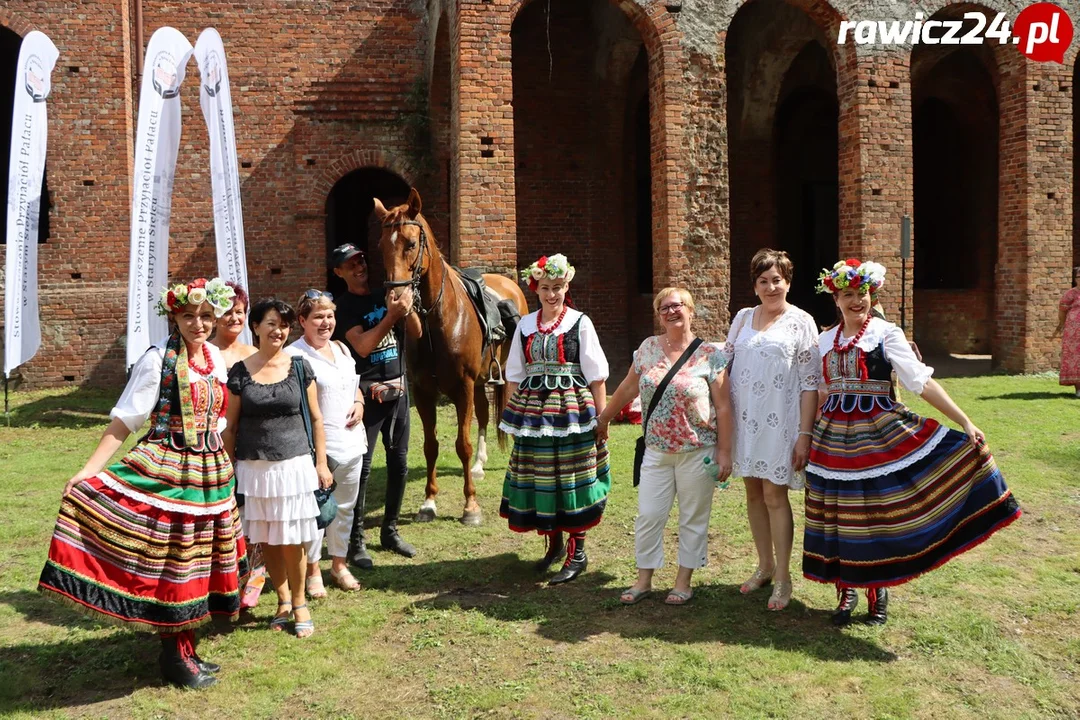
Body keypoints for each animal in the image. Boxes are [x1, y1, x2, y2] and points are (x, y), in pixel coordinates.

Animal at [373, 187, 529, 524]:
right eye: (381, 246)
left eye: (411, 243)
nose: (396, 298)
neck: (437, 320)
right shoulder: (423, 390)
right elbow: (431, 445)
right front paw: (428, 502)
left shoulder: (463, 387)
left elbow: (462, 444)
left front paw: (470, 506)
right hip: (481, 378)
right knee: (483, 413)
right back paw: (480, 466)